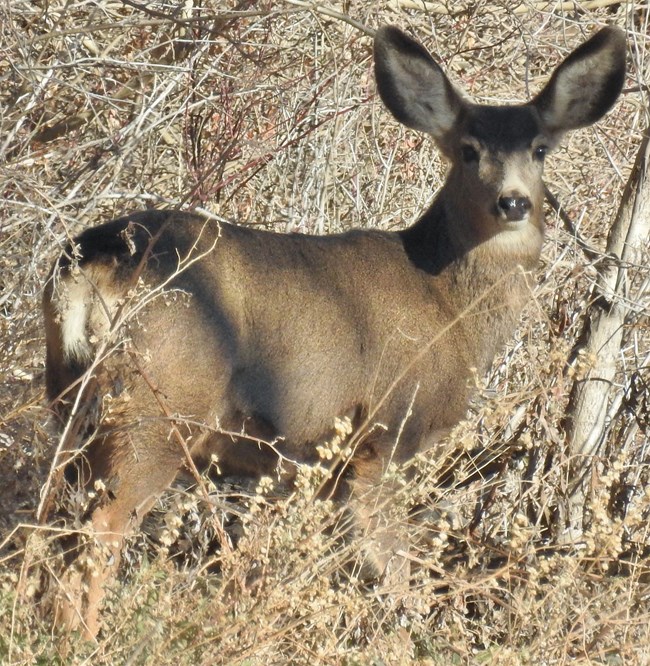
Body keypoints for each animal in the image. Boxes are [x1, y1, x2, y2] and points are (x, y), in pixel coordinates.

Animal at [44, 27, 624, 640]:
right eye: (468, 149)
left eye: (539, 149)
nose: (512, 202)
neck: (448, 305)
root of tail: (92, 259)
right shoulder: (385, 437)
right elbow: (390, 565)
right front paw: (404, 631)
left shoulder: (320, 469)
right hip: (159, 408)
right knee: (98, 531)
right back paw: (80, 638)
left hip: (70, 402)